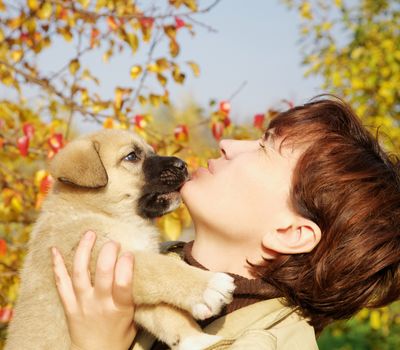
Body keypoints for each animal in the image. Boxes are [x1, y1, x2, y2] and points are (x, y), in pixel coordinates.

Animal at [5, 130, 234, 350]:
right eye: (131, 156)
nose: (183, 165)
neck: (104, 213)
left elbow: (164, 314)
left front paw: (197, 340)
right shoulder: (110, 259)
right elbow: (162, 269)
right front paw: (209, 286)